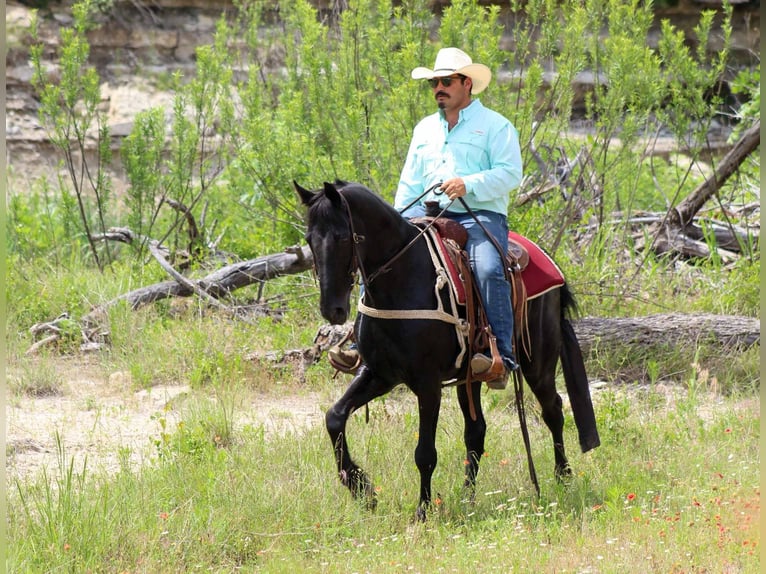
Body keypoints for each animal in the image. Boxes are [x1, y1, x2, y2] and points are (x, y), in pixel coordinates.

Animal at [296, 179, 600, 520]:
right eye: (309, 239)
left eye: (342, 236)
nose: (332, 309)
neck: (403, 280)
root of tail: (549, 262)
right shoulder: (380, 374)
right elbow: (334, 417)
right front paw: (362, 488)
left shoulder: (427, 384)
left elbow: (425, 453)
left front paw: (422, 511)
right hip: (471, 377)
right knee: (476, 432)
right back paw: (468, 498)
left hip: (539, 364)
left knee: (553, 411)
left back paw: (563, 478)